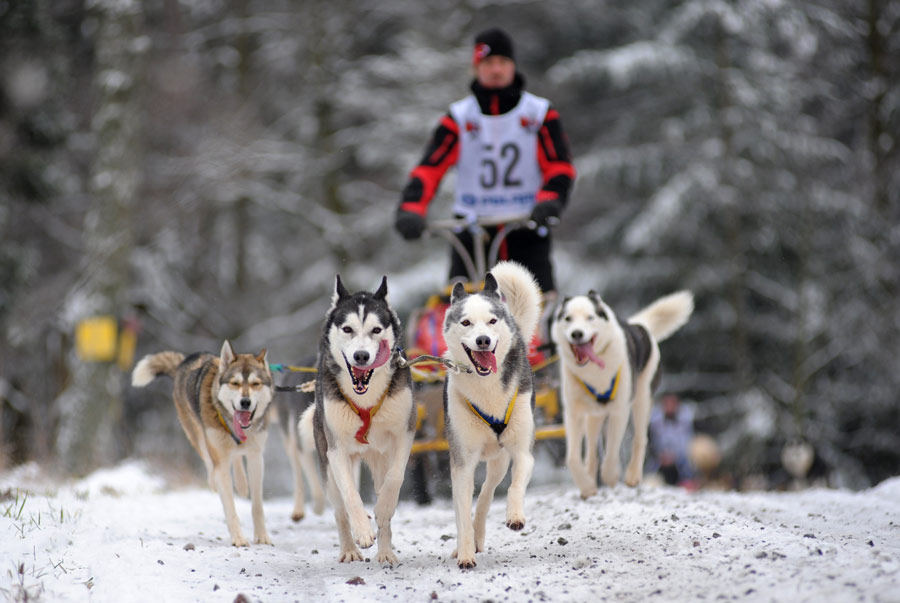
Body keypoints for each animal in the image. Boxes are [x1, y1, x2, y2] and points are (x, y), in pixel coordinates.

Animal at [132, 340, 274, 548]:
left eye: (256, 384)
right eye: (235, 383)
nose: (245, 402)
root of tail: (183, 362)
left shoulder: (256, 457)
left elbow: (257, 506)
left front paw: (262, 536)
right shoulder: (220, 459)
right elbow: (229, 506)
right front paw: (239, 538)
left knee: (236, 457)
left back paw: (241, 484)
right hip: (197, 435)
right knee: (209, 461)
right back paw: (216, 481)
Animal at [552, 290, 692, 498]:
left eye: (590, 317)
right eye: (568, 318)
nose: (576, 333)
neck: (595, 371)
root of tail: (638, 325)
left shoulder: (619, 410)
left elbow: (612, 449)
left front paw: (610, 475)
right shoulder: (574, 413)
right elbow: (573, 458)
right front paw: (586, 485)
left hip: (642, 401)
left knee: (640, 438)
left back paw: (632, 475)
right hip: (594, 416)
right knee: (592, 451)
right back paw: (591, 475)